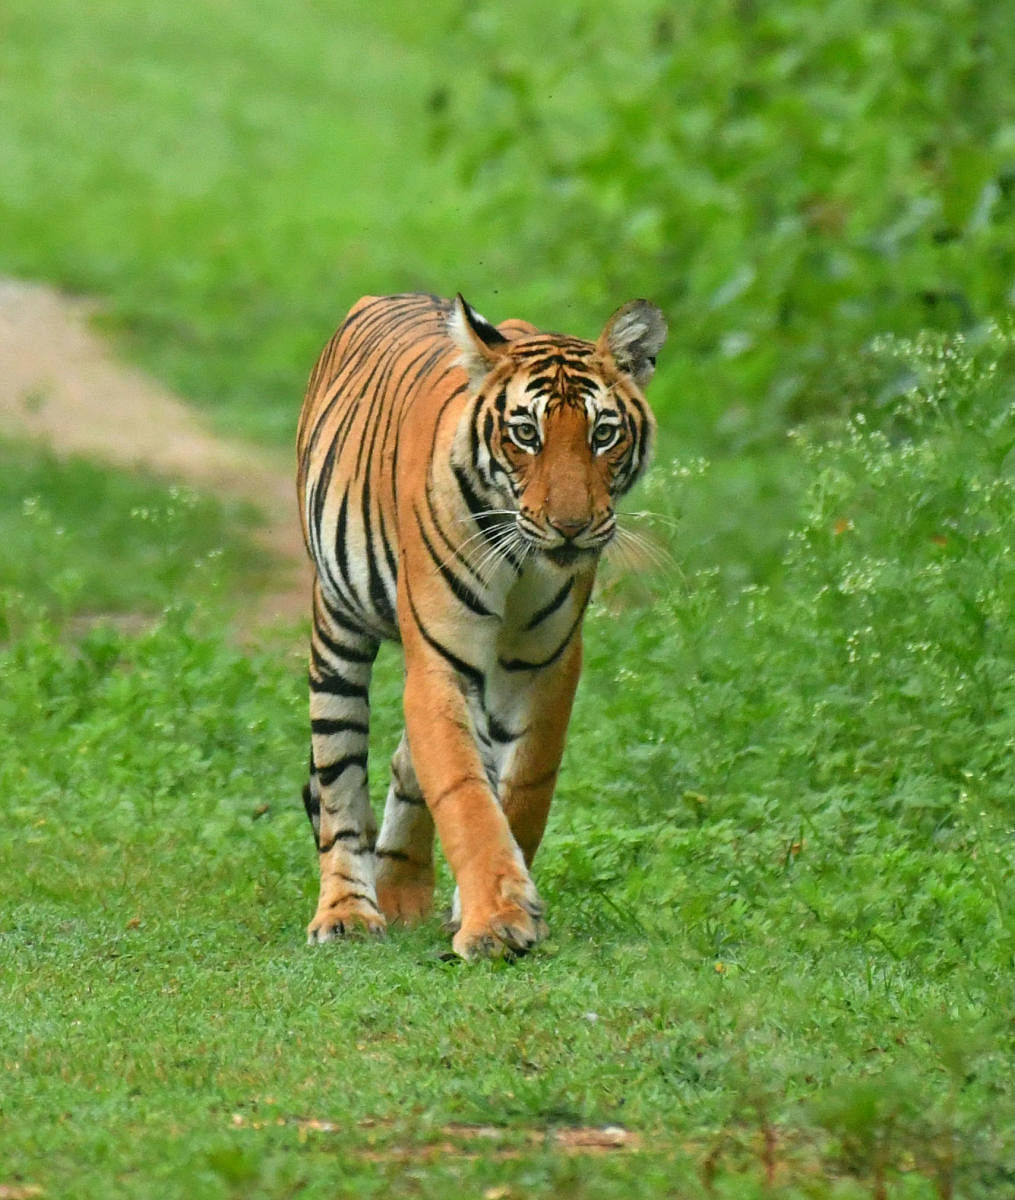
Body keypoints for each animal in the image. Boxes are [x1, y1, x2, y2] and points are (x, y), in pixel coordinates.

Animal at [297, 295, 667, 960]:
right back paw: (347, 914)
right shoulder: (441, 659)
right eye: (526, 434)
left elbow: (523, 789)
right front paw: (496, 923)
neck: (524, 559)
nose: (571, 527)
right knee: (339, 784)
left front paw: (492, 908)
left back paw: (401, 894)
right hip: (337, 632)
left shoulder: (545, 664)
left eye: (603, 434)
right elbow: (465, 792)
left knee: (406, 767)